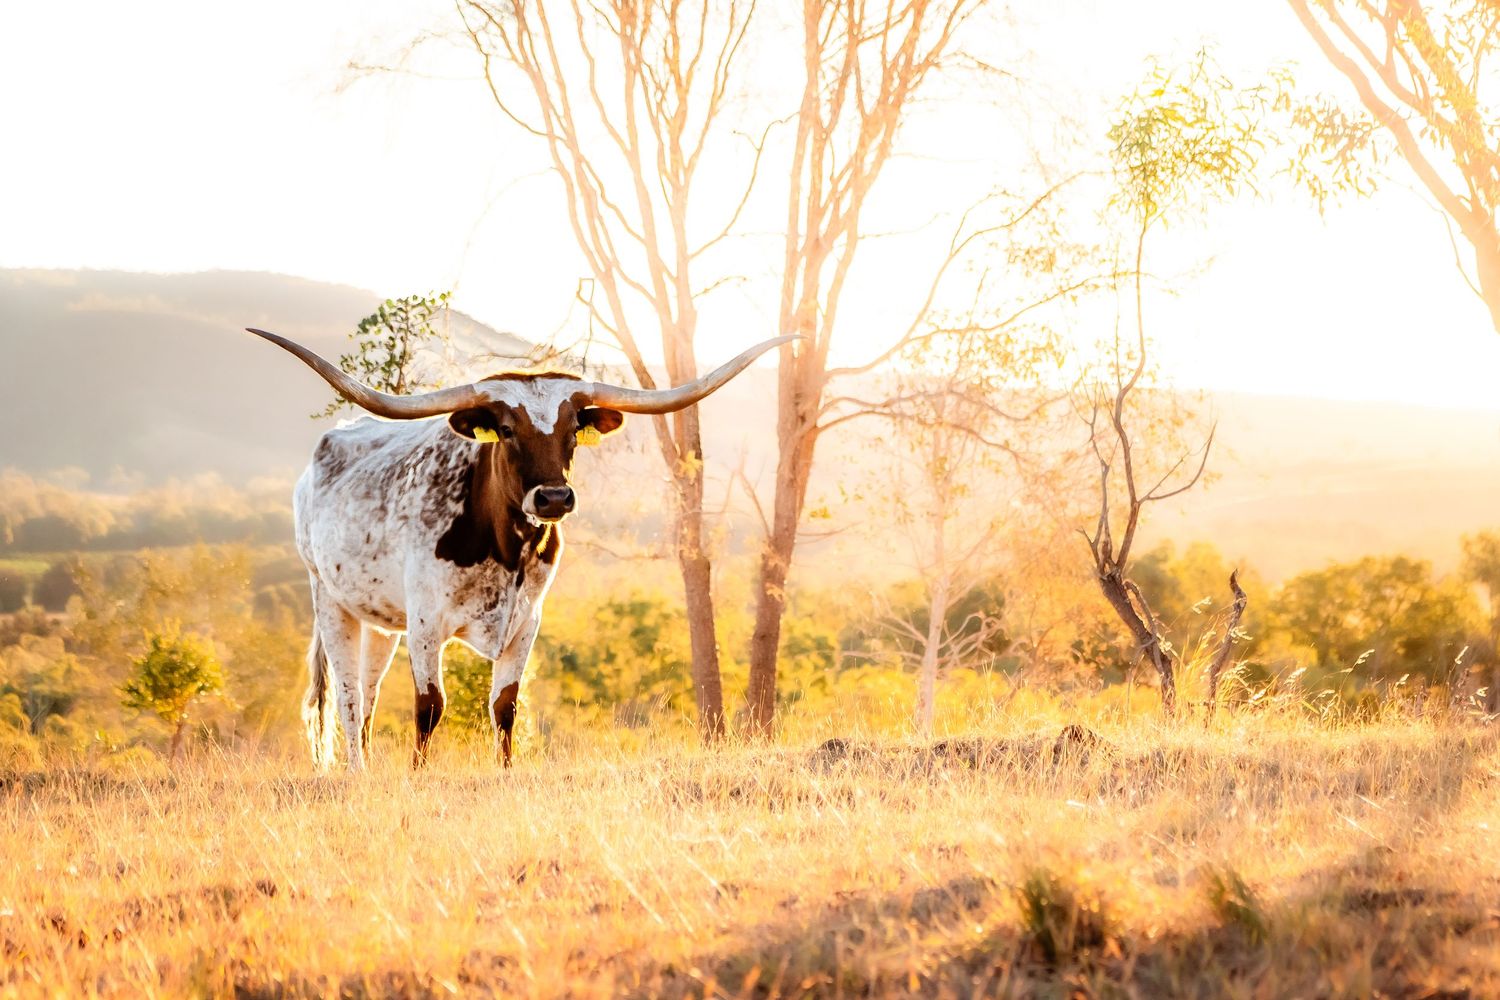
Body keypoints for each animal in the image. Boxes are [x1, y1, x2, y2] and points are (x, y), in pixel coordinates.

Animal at [246, 327, 790, 771]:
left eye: (573, 430)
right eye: (507, 430)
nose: (553, 498)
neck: (504, 548)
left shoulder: (526, 619)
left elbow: (504, 705)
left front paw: (505, 773)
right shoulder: (426, 620)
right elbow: (430, 706)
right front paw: (417, 777)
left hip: (380, 618)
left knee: (371, 693)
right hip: (328, 597)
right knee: (349, 695)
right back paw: (356, 774)